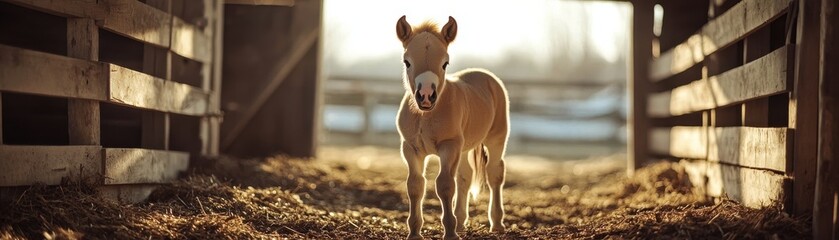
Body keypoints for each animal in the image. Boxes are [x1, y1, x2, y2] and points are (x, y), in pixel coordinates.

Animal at [396, 15, 512, 239]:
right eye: (407, 62)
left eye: (445, 63)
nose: (425, 95)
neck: (426, 116)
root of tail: (486, 76)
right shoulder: (411, 148)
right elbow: (415, 185)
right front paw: (414, 232)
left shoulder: (449, 146)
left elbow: (445, 185)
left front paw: (449, 232)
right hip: (465, 147)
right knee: (464, 177)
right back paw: (461, 222)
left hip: (496, 138)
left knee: (495, 173)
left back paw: (496, 224)